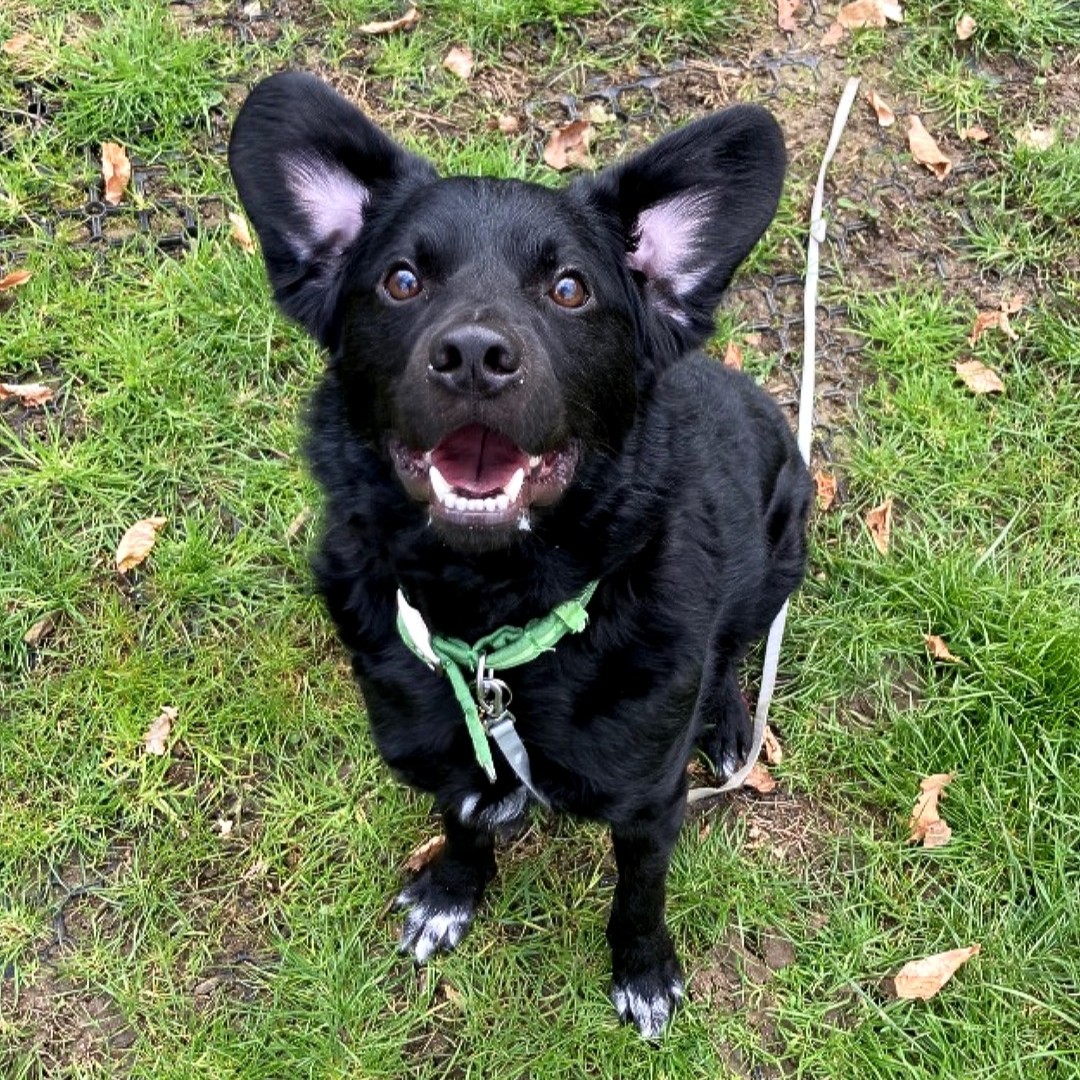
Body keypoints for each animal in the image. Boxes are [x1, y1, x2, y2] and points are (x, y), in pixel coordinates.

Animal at [234, 76, 812, 1036]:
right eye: (401, 280)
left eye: (570, 288)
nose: (473, 355)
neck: (495, 612)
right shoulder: (444, 753)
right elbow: (463, 821)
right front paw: (452, 891)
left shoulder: (651, 800)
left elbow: (639, 894)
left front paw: (643, 970)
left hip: (784, 544)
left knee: (735, 646)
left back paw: (730, 723)